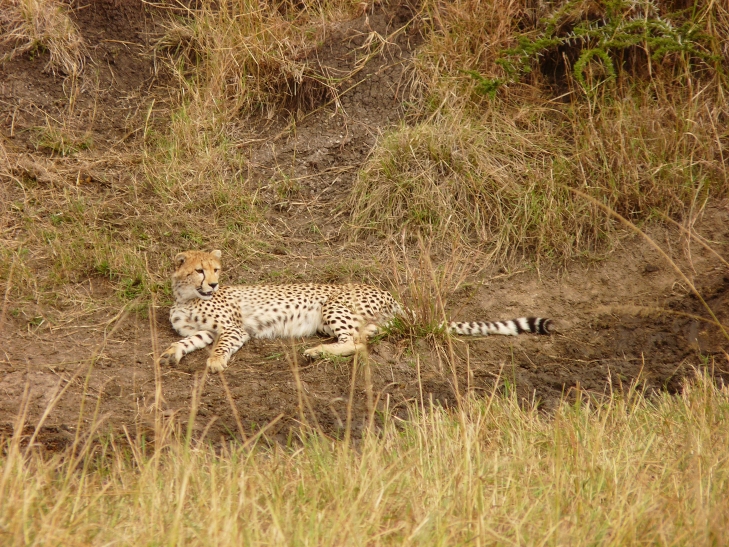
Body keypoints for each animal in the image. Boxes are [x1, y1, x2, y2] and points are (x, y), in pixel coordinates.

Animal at [159, 249, 554, 372]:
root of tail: (388, 293)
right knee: (365, 337)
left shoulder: (235, 328)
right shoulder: (203, 329)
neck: (187, 296)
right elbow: (189, 340)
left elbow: (222, 344)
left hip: (333, 306)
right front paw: (170, 352)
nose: (212, 285)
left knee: (356, 343)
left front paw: (214, 361)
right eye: (200, 270)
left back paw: (317, 351)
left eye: (216, 269)